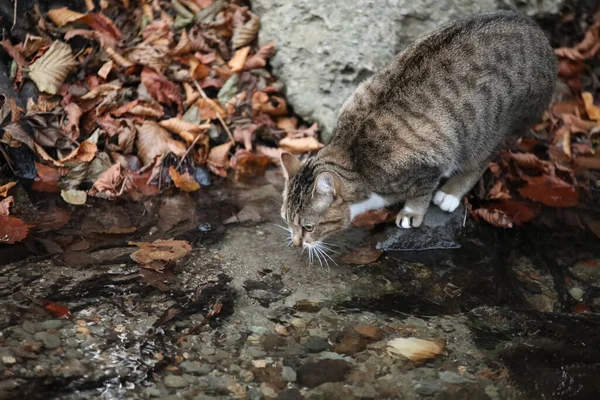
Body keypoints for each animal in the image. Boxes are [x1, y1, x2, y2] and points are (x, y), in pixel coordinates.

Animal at [282, 10, 556, 250]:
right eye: (286, 220)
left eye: (308, 226)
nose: (296, 243)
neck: (353, 157)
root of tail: (540, 36)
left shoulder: (430, 162)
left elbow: (421, 191)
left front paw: (411, 211)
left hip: (490, 128)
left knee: (481, 161)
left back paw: (451, 193)